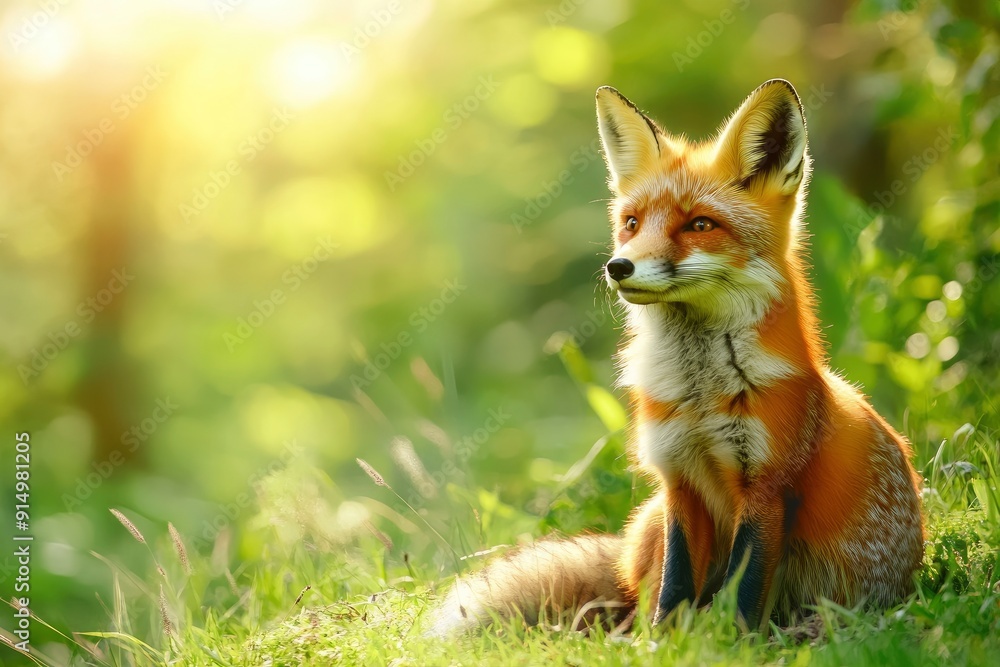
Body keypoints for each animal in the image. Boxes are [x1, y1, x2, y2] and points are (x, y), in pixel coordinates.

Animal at [430, 79, 924, 636]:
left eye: (700, 224)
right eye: (631, 223)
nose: (618, 266)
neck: (700, 399)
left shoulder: (767, 485)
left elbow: (744, 586)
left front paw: (733, 642)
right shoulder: (676, 477)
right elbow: (674, 584)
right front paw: (663, 643)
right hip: (648, 521)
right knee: (634, 602)